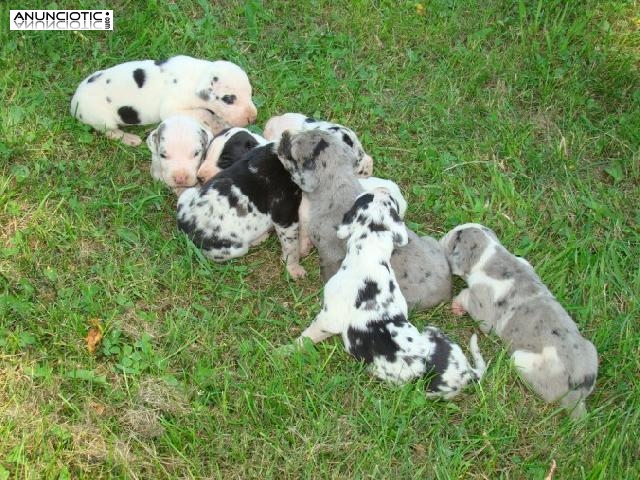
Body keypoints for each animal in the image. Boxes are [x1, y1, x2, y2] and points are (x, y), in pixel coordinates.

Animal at [175, 141, 304, 280]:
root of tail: (183, 225)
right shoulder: (285, 217)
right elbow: (291, 247)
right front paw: (294, 269)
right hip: (236, 248)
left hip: (188, 192)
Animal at [440, 224, 600, 416]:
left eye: (454, 238)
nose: (442, 237)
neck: (492, 257)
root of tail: (576, 397)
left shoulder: (484, 314)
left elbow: (467, 296)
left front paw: (457, 304)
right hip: (591, 348)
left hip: (519, 358)